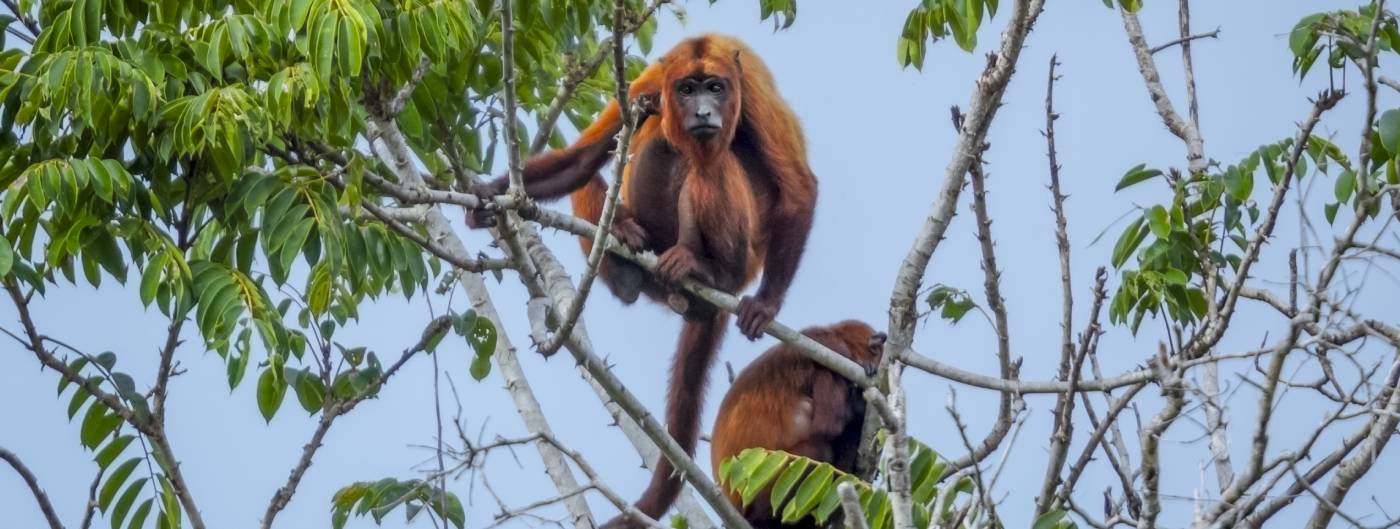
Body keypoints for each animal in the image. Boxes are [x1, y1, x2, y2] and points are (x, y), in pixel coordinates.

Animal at [470, 34, 817, 529]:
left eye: (716, 88)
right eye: (687, 90)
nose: (704, 112)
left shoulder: (751, 88)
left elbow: (797, 186)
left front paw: (767, 304)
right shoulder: (645, 84)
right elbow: (582, 161)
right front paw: (488, 194)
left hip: (745, 257)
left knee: (708, 161)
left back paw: (705, 270)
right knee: (636, 154)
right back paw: (624, 252)